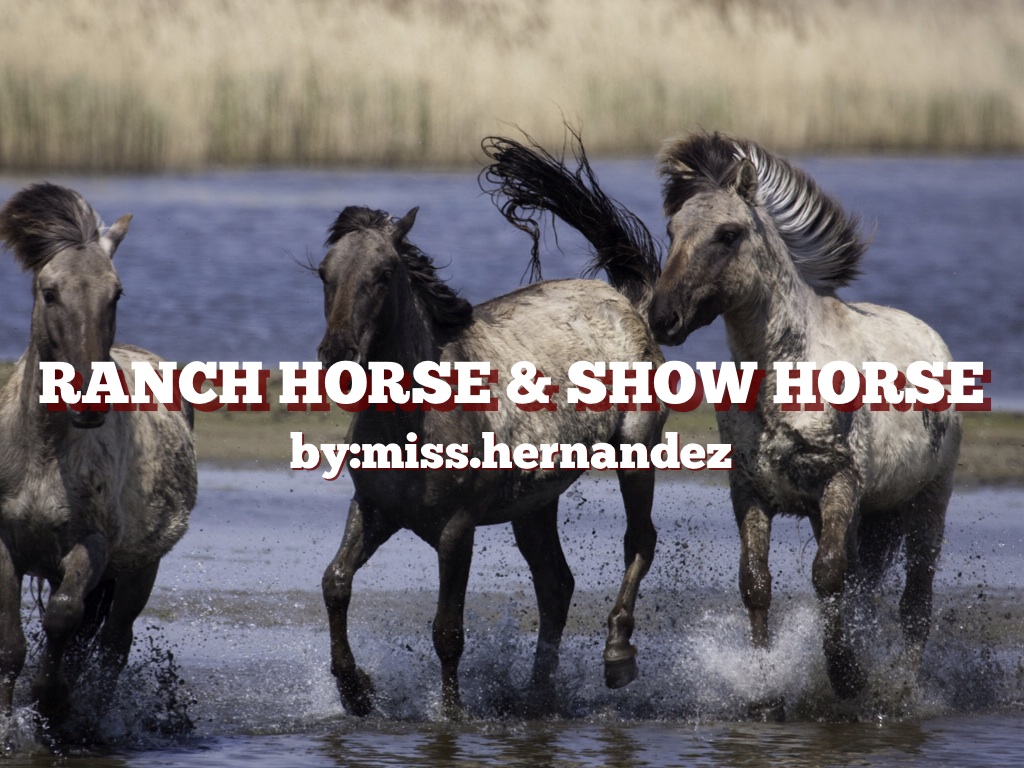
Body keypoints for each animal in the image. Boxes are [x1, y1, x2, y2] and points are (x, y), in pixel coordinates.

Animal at [0, 183, 196, 722]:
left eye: (117, 293)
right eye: (49, 292)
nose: (90, 399)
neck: (45, 453)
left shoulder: (93, 545)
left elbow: (64, 619)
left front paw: (53, 703)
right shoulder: (4, 543)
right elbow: (11, 644)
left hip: (138, 570)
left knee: (113, 644)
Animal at [314, 144, 665, 718]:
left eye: (384, 273)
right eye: (325, 272)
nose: (337, 354)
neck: (412, 419)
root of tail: (626, 301)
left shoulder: (457, 530)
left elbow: (447, 632)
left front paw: (451, 715)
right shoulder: (375, 510)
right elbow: (335, 583)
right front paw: (356, 692)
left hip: (636, 451)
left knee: (639, 541)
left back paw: (617, 657)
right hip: (535, 504)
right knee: (556, 586)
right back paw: (536, 697)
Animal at [647, 132, 961, 713]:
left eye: (728, 234)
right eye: (672, 231)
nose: (662, 318)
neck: (782, 381)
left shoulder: (841, 481)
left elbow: (828, 575)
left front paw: (848, 680)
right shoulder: (751, 490)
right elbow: (756, 583)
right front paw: (764, 690)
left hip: (930, 499)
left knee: (916, 602)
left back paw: (901, 691)